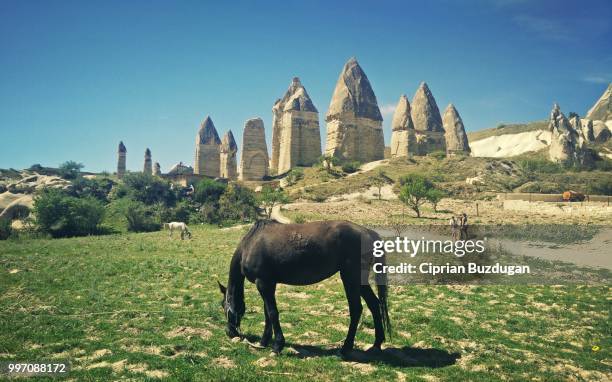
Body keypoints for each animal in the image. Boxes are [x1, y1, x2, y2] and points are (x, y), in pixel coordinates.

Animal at [219, 221, 392, 356]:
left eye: (224, 306)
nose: (230, 333)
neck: (250, 244)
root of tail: (368, 232)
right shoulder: (268, 284)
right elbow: (267, 313)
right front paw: (263, 342)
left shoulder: (263, 284)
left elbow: (273, 313)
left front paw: (277, 346)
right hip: (358, 282)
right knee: (374, 304)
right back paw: (376, 344)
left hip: (350, 278)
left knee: (356, 309)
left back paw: (346, 348)